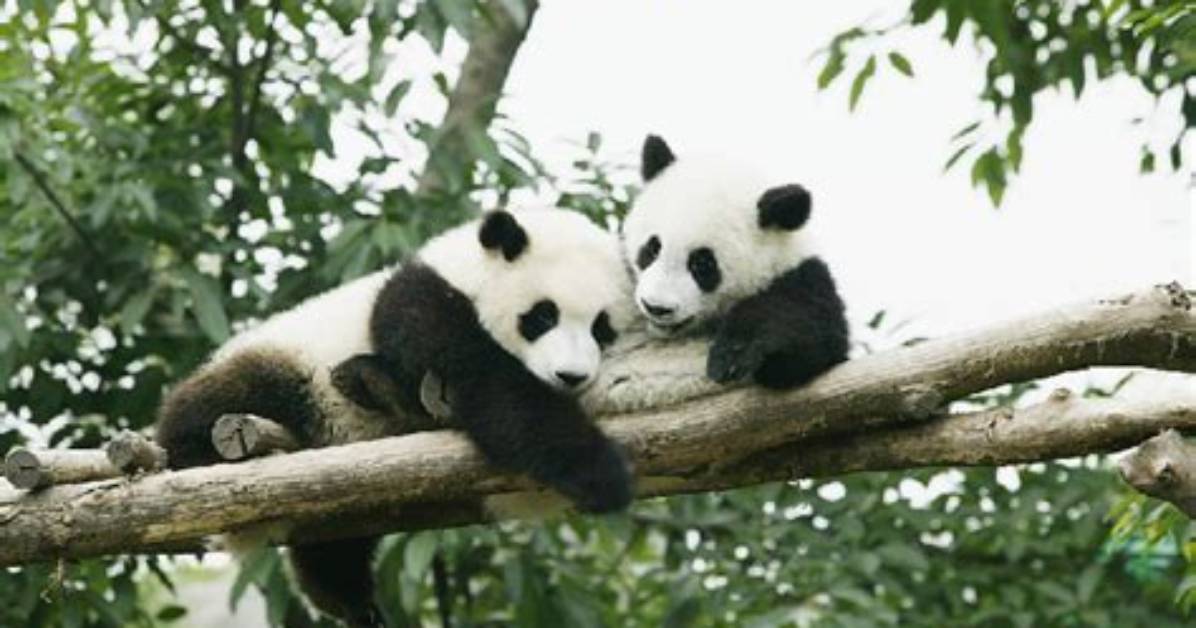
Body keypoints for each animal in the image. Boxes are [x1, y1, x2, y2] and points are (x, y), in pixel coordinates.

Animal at [154, 208, 635, 627]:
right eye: (542, 316)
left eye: (601, 328)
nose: (571, 376)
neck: (465, 271)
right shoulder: (419, 303)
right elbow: (490, 385)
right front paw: (600, 473)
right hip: (286, 367)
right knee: (224, 399)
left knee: (333, 549)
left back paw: (350, 601)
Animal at [621, 135, 850, 390]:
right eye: (652, 248)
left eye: (702, 264)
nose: (656, 307)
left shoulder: (803, 278)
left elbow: (812, 334)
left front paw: (733, 354)